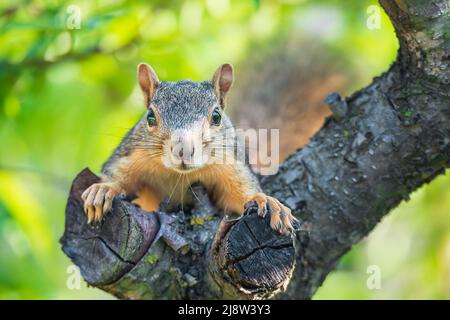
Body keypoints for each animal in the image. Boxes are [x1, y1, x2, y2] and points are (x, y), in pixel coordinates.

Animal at [81, 62, 298, 235]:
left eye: (217, 116)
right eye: (150, 116)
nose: (182, 149)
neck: (178, 176)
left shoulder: (231, 165)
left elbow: (238, 194)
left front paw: (266, 201)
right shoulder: (131, 155)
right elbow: (118, 173)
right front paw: (103, 189)